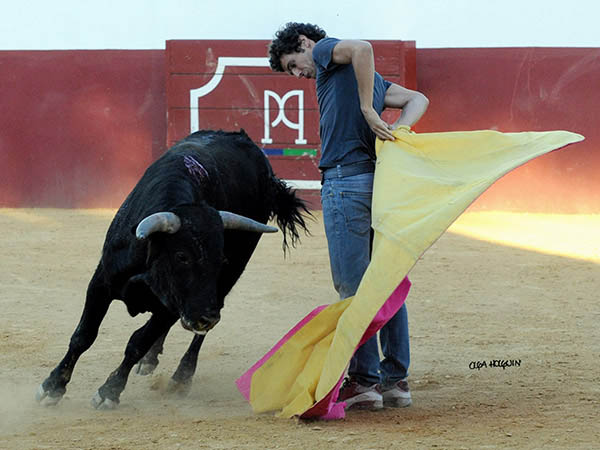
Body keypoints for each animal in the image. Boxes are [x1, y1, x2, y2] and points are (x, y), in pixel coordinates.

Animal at [36, 129, 310, 409]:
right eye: (182, 256)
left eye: (221, 260)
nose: (207, 317)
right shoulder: (102, 282)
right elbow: (84, 335)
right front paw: (53, 386)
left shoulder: (175, 304)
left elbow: (137, 342)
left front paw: (109, 392)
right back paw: (150, 360)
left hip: (225, 282)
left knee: (198, 330)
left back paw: (181, 377)